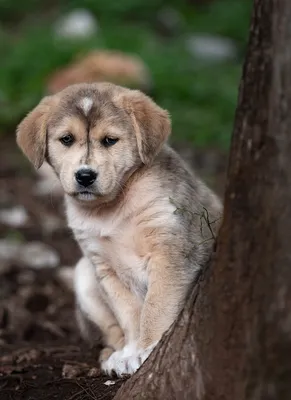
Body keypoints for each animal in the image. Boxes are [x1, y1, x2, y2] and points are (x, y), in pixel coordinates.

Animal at [16, 83, 224, 376]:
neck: (112, 210)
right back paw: (112, 356)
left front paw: (148, 349)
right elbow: (129, 315)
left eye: (109, 140)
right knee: (111, 333)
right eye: (66, 139)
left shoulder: (171, 254)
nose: (85, 176)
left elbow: (155, 308)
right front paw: (131, 352)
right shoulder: (104, 267)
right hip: (84, 275)